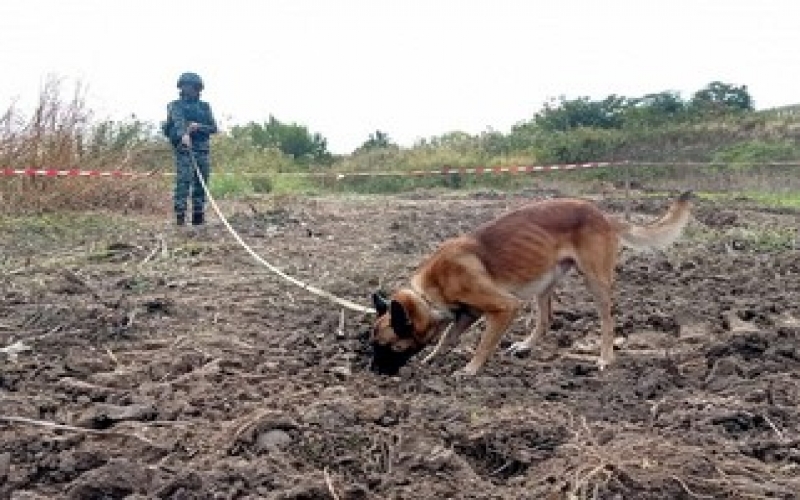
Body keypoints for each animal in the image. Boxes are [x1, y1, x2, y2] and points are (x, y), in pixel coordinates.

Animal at [372, 191, 692, 376]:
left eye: (388, 347)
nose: (374, 373)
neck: (428, 293)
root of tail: (602, 214)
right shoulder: (467, 314)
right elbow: (446, 338)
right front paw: (431, 359)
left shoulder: (504, 307)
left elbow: (484, 344)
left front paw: (470, 369)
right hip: (543, 281)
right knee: (547, 319)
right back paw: (526, 346)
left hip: (595, 281)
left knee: (607, 320)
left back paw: (605, 358)